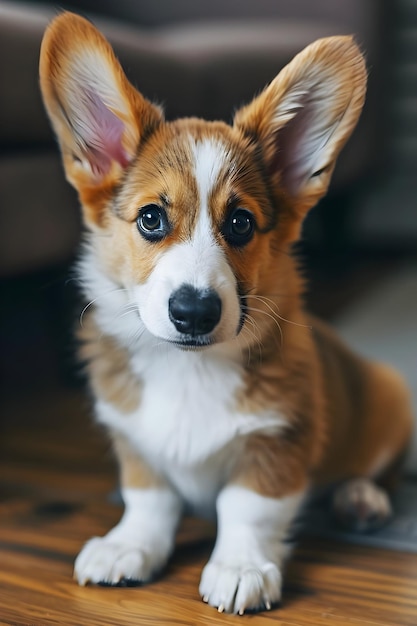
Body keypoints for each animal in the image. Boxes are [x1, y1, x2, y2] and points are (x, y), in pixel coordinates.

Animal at [39, 13, 412, 616]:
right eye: (150, 218)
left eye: (240, 223)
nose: (194, 312)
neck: (189, 368)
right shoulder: (134, 441)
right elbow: (148, 500)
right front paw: (126, 546)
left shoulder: (279, 440)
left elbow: (246, 508)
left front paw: (240, 567)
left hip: (390, 398)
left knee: (386, 472)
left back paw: (361, 497)